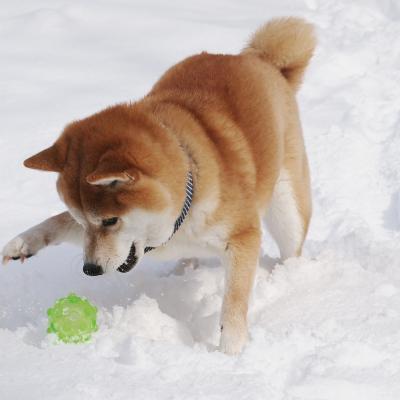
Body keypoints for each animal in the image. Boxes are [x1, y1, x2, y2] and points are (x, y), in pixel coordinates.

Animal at [2, 18, 316, 354]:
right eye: (81, 220)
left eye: (110, 220)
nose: (90, 269)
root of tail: (262, 60)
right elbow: (56, 223)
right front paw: (23, 243)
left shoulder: (241, 236)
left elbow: (234, 300)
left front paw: (230, 350)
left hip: (287, 210)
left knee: (291, 244)